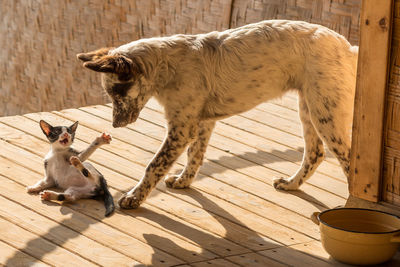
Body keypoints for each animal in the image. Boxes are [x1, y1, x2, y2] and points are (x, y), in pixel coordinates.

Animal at [77, 20, 356, 209]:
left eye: (117, 93)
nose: (115, 125)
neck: (166, 66)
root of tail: (349, 47)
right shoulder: (201, 122)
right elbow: (195, 155)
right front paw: (183, 181)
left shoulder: (181, 128)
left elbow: (154, 165)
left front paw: (135, 197)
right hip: (309, 108)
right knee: (315, 152)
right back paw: (291, 184)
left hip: (325, 112)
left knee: (349, 161)